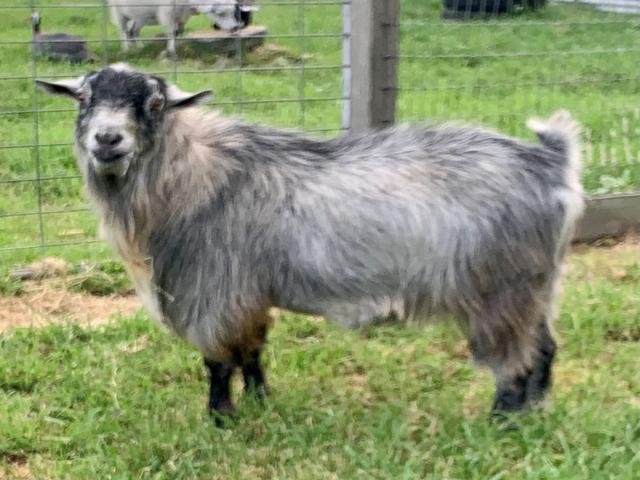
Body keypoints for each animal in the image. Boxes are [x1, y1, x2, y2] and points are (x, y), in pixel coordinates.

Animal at [37, 64, 584, 424]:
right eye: (83, 99)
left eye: (153, 103)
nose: (108, 139)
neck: (193, 174)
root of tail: (551, 163)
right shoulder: (249, 294)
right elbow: (253, 350)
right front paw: (261, 402)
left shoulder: (214, 290)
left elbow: (218, 361)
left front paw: (221, 418)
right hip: (537, 284)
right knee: (545, 347)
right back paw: (536, 410)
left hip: (500, 289)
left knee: (514, 357)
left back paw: (503, 419)